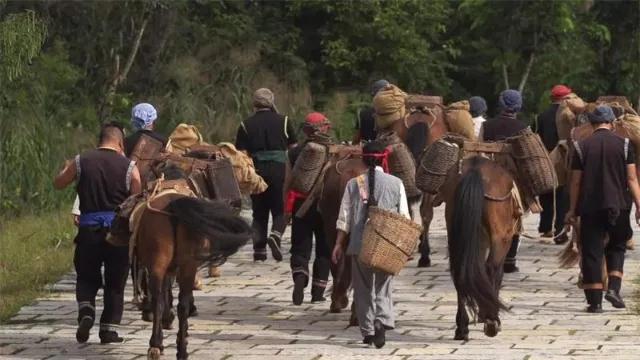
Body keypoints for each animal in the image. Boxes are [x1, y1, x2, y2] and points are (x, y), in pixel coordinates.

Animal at [116, 190, 251, 358]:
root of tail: (172, 205)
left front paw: (165, 321)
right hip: (187, 265)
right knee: (182, 305)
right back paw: (181, 349)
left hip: (158, 265)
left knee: (158, 301)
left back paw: (156, 344)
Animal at [442, 156, 524, 338]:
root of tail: (476, 170)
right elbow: (496, 273)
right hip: (499, 238)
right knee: (491, 268)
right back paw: (492, 321)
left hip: (456, 236)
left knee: (459, 272)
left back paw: (462, 327)